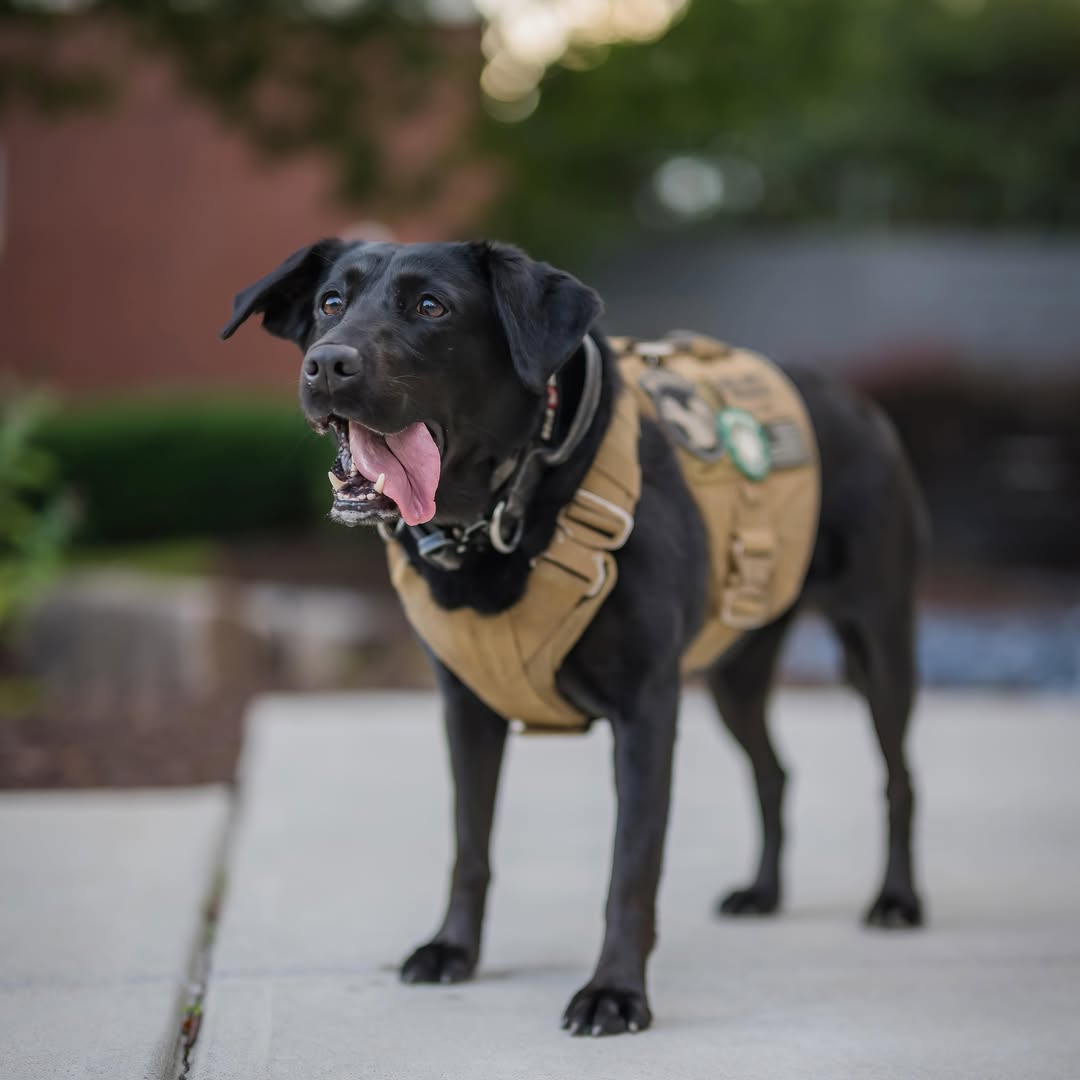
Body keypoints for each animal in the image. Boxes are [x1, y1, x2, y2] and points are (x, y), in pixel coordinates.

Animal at [221, 238, 928, 1036]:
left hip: (877, 639)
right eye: (329, 304)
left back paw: (897, 901)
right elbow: (470, 844)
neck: (500, 512)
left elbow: (631, 869)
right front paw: (453, 950)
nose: (328, 363)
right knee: (775, 772)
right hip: (737, 672)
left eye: (431, 307)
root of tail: (860, 402)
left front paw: (615, 992)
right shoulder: (466, 710)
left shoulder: (646, 711)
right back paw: (763, 892)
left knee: (899, 775)